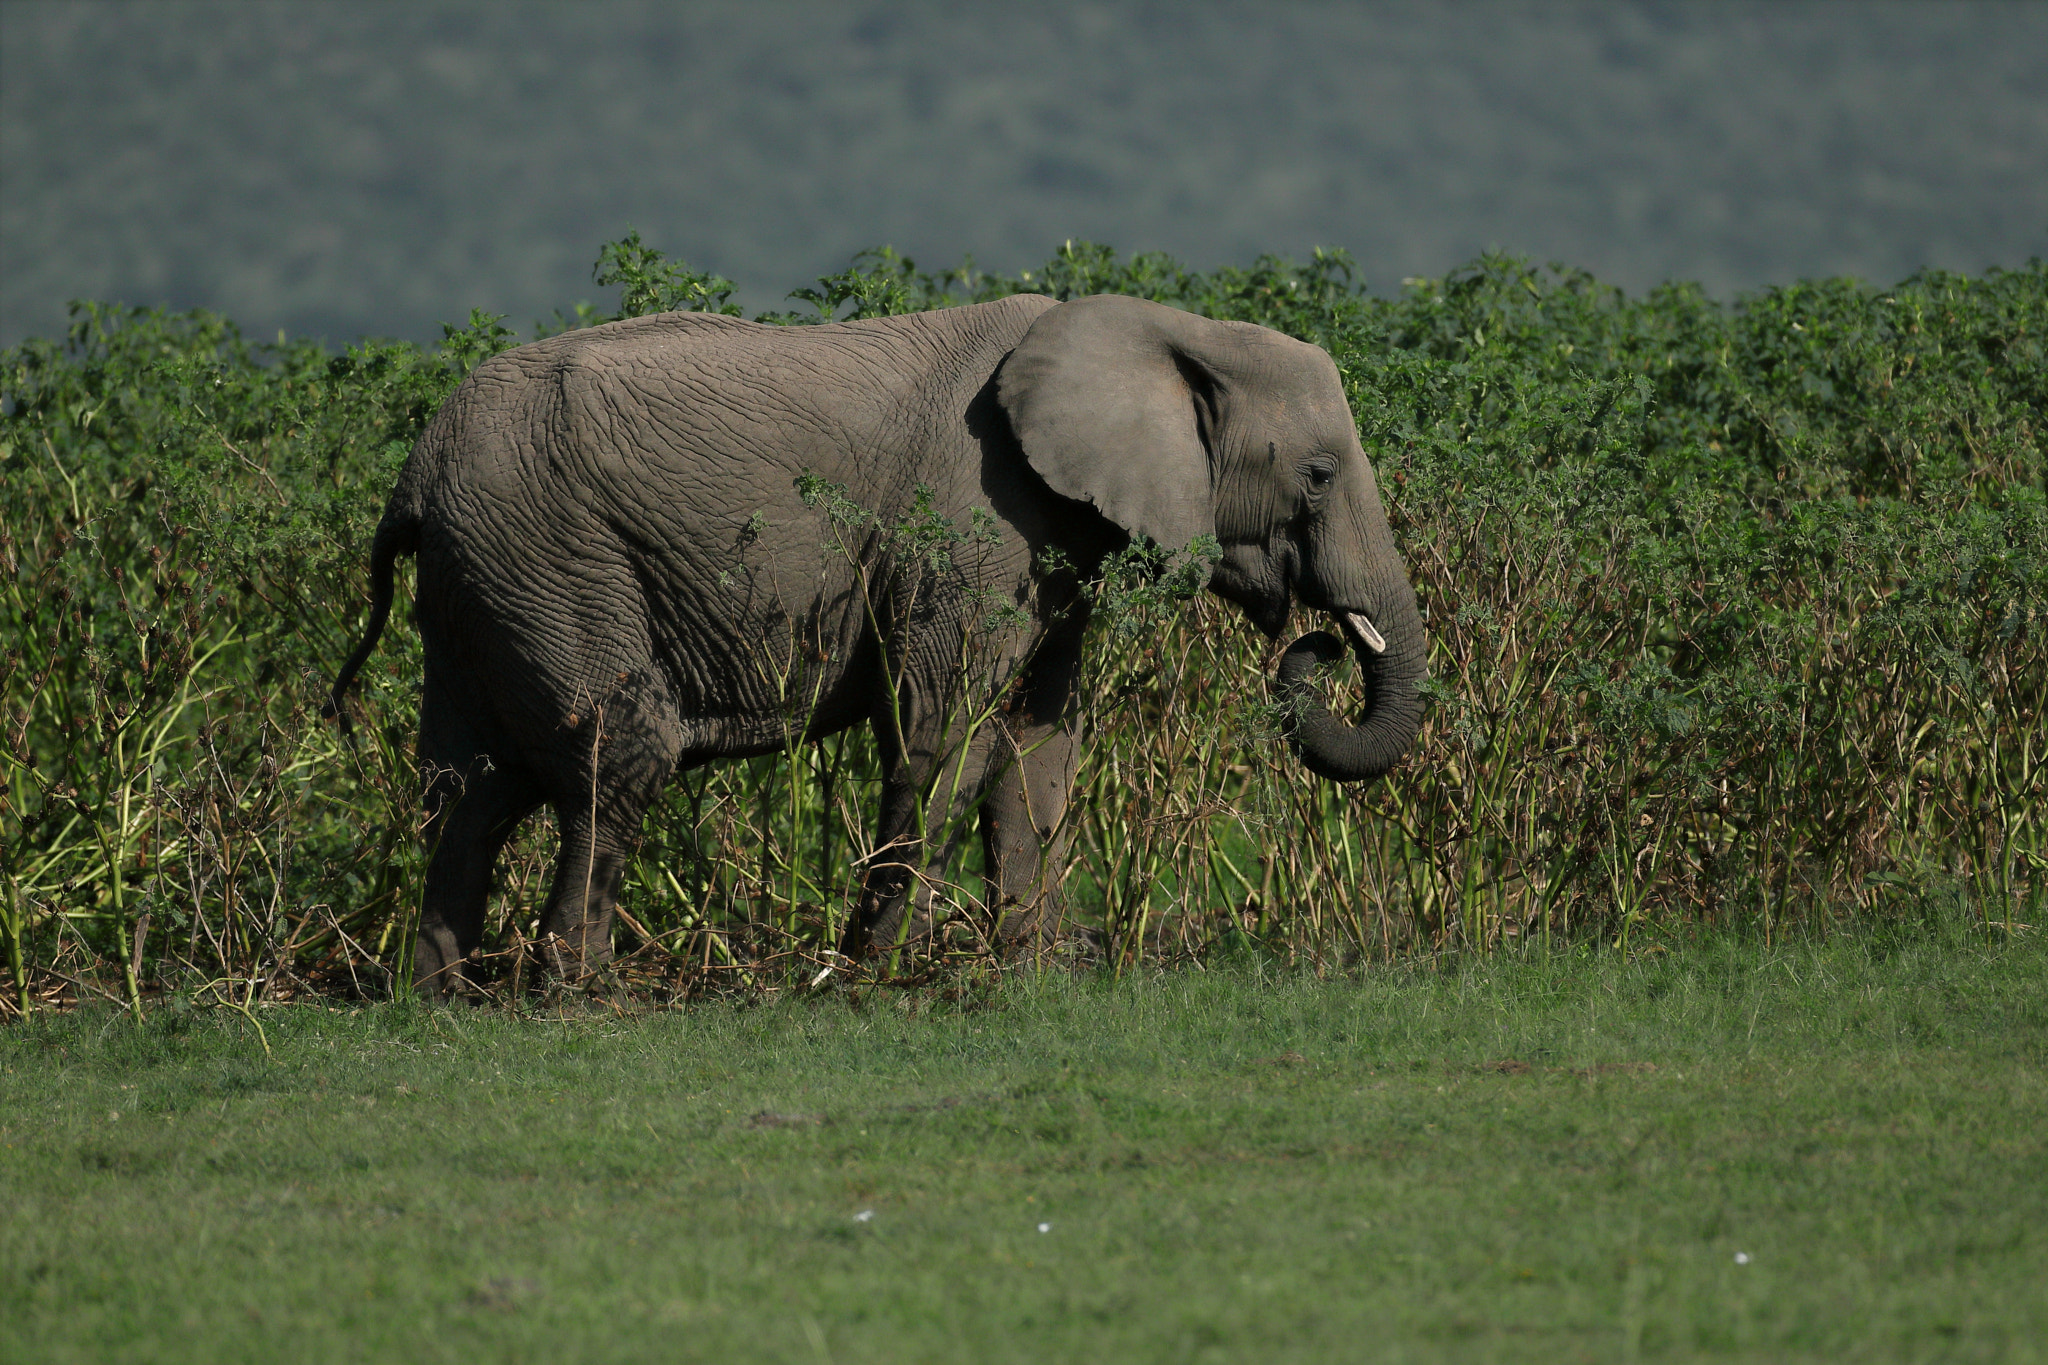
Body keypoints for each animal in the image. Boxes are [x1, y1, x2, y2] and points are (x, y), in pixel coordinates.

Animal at [335, 294, 1425, 998]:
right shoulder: (976, 521)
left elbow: (1039, 741)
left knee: (469, 787)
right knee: (620, 755)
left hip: (483, 580)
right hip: (551, 557)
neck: (1172, 329)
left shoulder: (1058, 537)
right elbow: (944, 727)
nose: (1321, 647)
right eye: (1319, 475)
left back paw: (437, 996)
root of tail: (412, 478)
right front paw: (869, 973)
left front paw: (1030, 972)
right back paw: (578, 991)